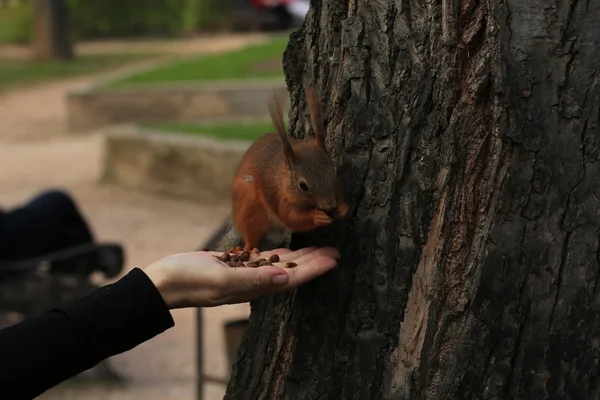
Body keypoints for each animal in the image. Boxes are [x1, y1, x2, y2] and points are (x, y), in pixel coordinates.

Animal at [217, 86, 350, 253]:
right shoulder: (277, 195)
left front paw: (342, 207)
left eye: (335, 173)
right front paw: (317, 216)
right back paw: (246, 248)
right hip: (250, 206)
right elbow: (291, 217)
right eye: (302, 185)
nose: (330, 205)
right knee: (250, 236)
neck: (283, 177)